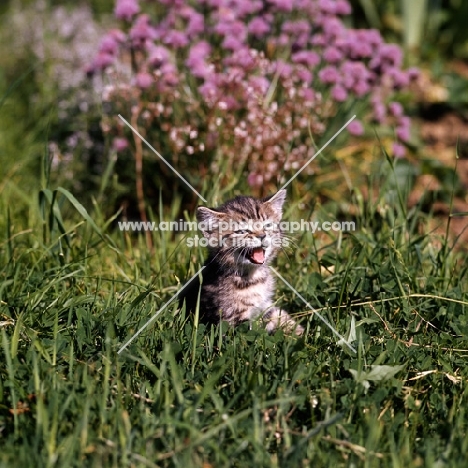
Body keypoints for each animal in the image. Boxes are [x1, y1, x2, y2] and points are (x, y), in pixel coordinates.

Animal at [179, 189, 304, 336]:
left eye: (267, 225)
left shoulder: (265, 305)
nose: (262, 236)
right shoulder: (232, 317)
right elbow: (249, 335)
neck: (252, 275)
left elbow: (278, 315)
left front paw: (301, 333)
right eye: (242, 231)